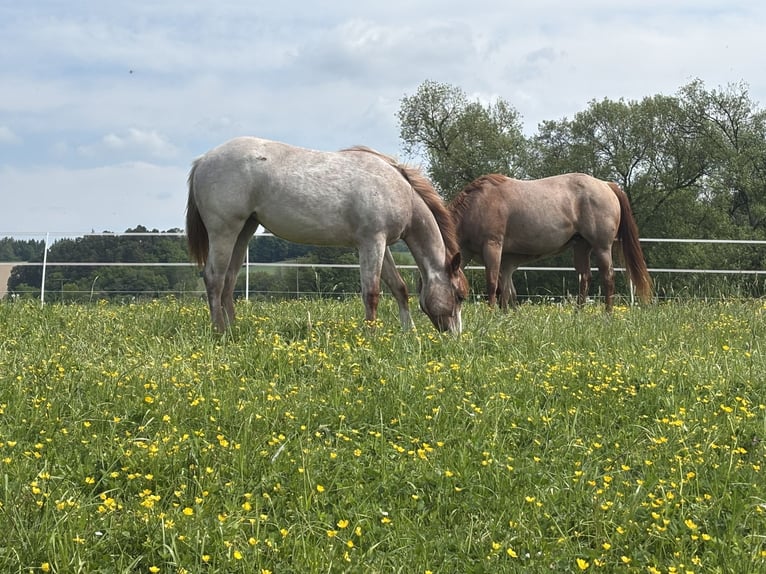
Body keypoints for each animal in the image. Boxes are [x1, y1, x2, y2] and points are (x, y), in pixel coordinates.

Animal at [186, 136, 468, 334]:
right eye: (460, 296)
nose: (455, 337)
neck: (401, 191)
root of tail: (203, 160)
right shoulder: (371, 243)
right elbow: (372, 293)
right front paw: (372, 337)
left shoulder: (382, 245)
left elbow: (399, 287)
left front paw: (409, 333)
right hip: (224, 231)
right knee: (214, 278)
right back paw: (220, 332)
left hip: (244, 231)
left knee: (229, 280)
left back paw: (234, 329)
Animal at [449, 173, 652, 310]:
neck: (476, 205)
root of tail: (607, 185)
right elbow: (504, 291)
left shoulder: (492, 247)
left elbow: (492, 285)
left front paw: (491, 315)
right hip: (581, 246)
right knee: (585, 278)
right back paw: (578, 314)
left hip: (602, 247)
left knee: (608, 277)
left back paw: (607, 315)